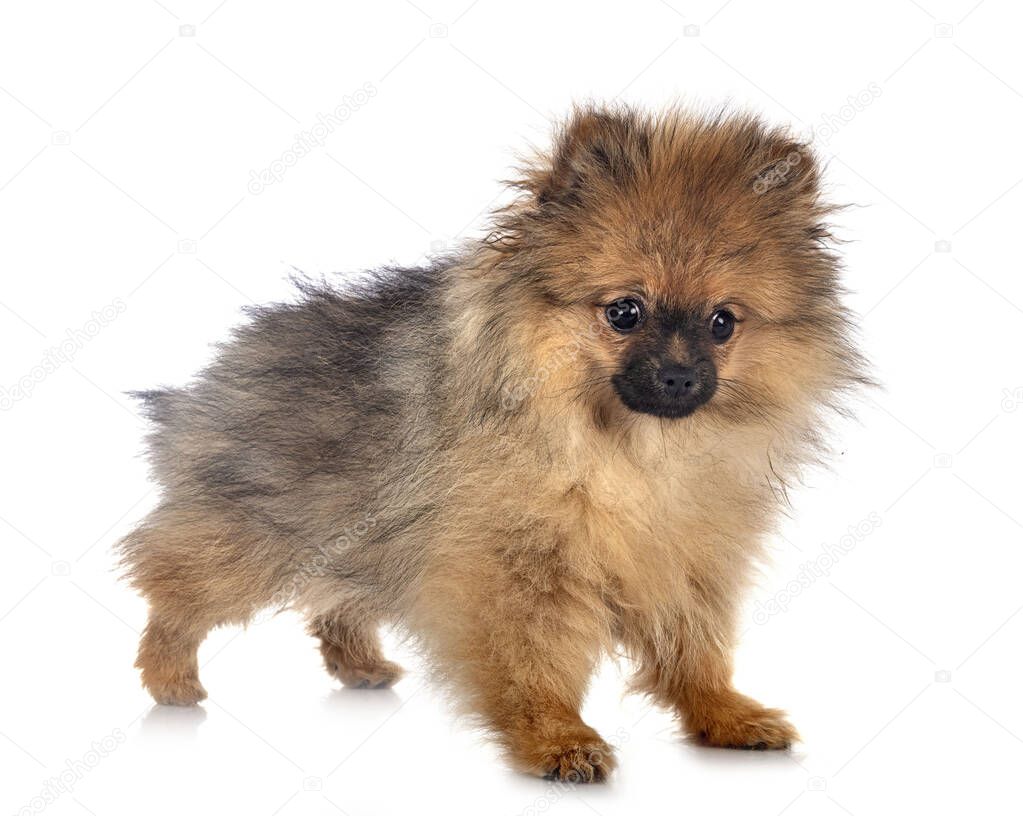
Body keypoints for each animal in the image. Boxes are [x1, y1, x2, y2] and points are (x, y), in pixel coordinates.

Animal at [119, 105, 863, 781]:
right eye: (625, 311)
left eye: (722, 322)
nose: (679, 376)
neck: (629, 451)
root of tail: (223, 368)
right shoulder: (518, 565)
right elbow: (532, 659)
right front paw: (557, 739)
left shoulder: (686, 556)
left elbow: (694, 648)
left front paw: (724, 714)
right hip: (256, 534)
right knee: (176, 586)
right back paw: (168, 676)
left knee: (339, 602)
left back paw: (360, 664)